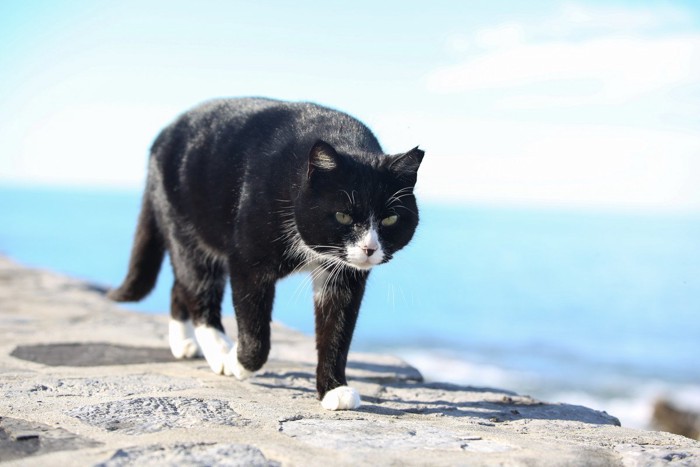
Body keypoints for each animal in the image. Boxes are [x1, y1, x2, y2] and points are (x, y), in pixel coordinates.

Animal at [109, 97, 424, 412]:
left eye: (390, 219)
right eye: (343, 215)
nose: (369, 248)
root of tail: (164, 134)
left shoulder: (342, 274)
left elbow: (337, 330)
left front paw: (334, 389)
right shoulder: (248, 261)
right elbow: (256, 332)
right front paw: (237, 362)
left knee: (181, 285)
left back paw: (184, 344)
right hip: (184, 224)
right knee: (197, 287)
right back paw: (218, 351)